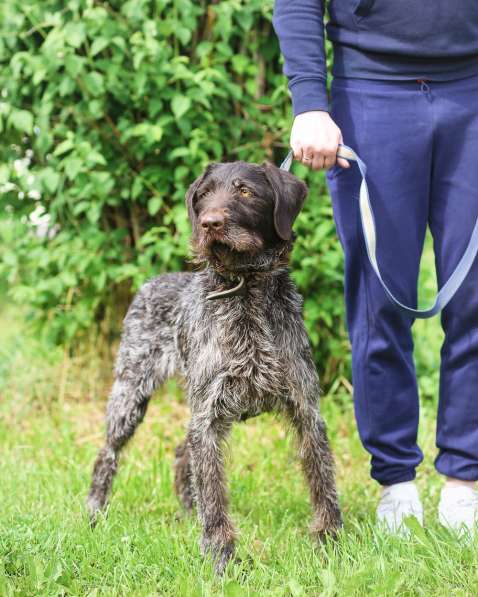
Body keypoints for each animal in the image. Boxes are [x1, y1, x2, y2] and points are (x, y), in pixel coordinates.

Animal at [88, 157, 342, 572]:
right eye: (204, 195)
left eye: (246, 191)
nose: (209, 222)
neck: (245, 289)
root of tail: (153, 281)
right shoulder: (209, 415)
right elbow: (213, 494)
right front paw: (220, 557)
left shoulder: (305, 409)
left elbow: (323, 480)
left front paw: (330, 541)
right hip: (131, 394)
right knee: (108, 453)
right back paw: (95, 511)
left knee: (181, 453)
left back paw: (186, 513)